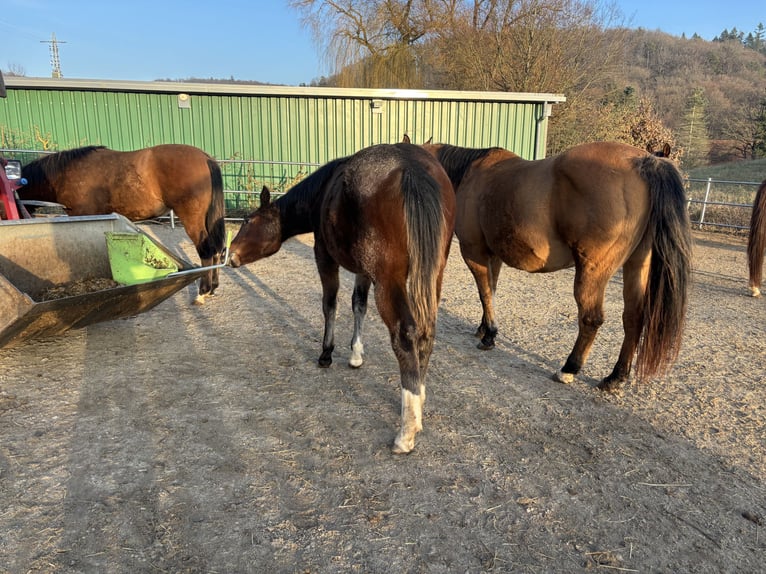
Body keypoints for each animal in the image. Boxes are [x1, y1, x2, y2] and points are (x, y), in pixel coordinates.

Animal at [19, 144, 226, 303]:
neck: (65, 174)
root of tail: (205, 158)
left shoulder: (84, 214)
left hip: (192, 220)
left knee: (206, 250)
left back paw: (203, 292)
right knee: (216, 250)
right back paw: (213, 289)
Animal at [229, 143, 456, 453]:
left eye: (248, 220)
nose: (230, 254)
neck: (323, 191)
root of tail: (413, 168)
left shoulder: (324, 255)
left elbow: (330, 304)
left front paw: (327, 353)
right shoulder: (363, 270)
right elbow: (358, 304)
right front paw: (356, 354)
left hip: (390, 280)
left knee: (406, 332)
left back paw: (406, 430)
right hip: (433, 274)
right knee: (426, 330)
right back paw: (419, 397)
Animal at [421, 140, 692, 391]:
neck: (470, 173)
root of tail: (644, 161)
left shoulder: (473, 251)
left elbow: (484, 293)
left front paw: (489, 336)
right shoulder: (493, 255)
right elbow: (491, 291)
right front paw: (483, 328)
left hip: (592, 271)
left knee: (591, 318)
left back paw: (569, 368)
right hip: (637, 264)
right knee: (633, 317)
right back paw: (616, 377)